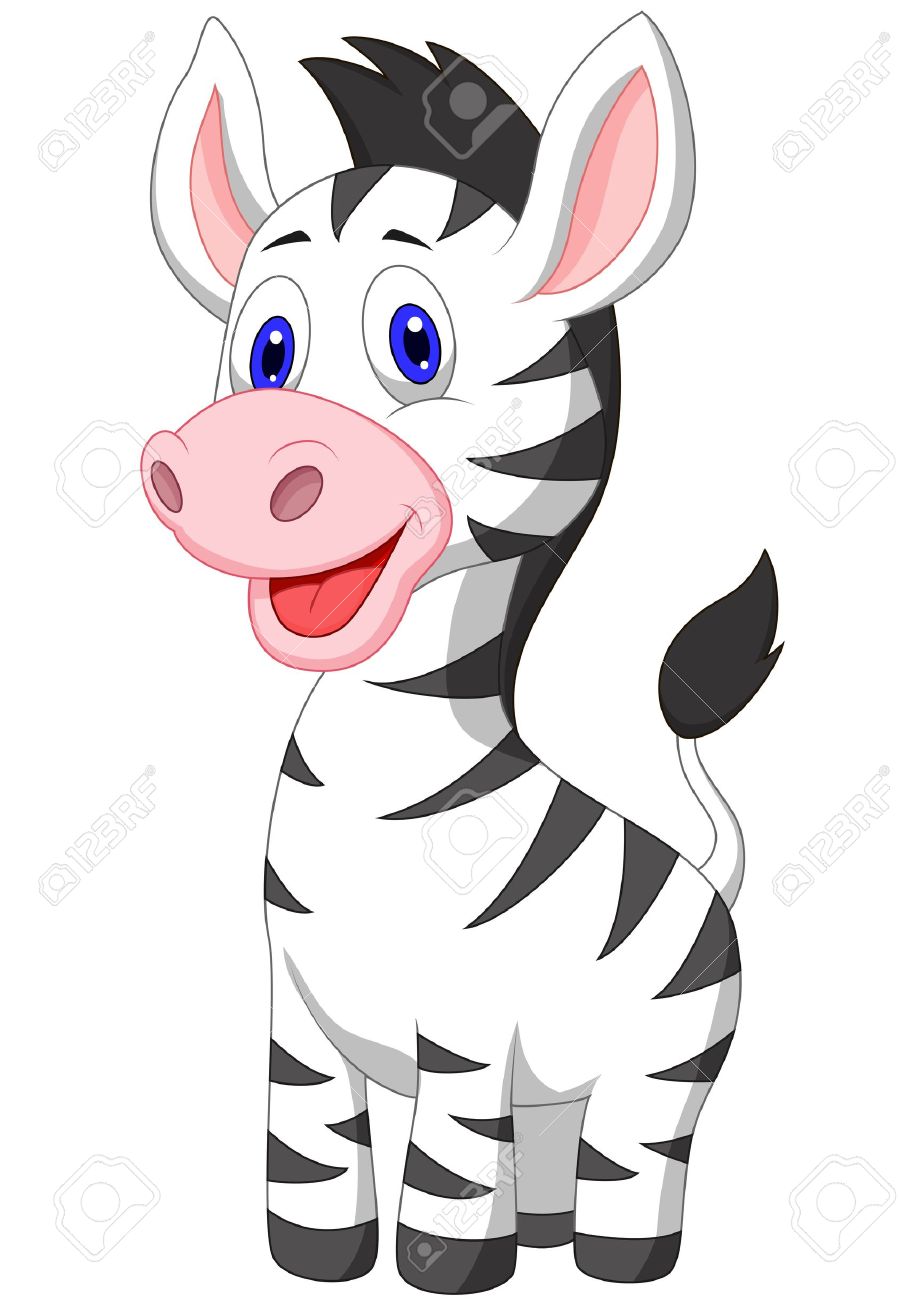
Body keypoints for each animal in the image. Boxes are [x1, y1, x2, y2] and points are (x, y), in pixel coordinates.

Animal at [143, 14, 782, 1292]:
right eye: (269, 348)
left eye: (415, 341)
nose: (209, 463)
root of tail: (708, 881)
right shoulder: (296, 1019)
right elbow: (306, 1153)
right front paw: (319, 1262)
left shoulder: (469, 1033)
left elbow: (442, 1164)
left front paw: (446, 1270)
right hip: (557, 1084)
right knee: (545, 1153)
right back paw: (539, 1237)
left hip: (662, 1063)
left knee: (635, 1162)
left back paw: (612, 1260)